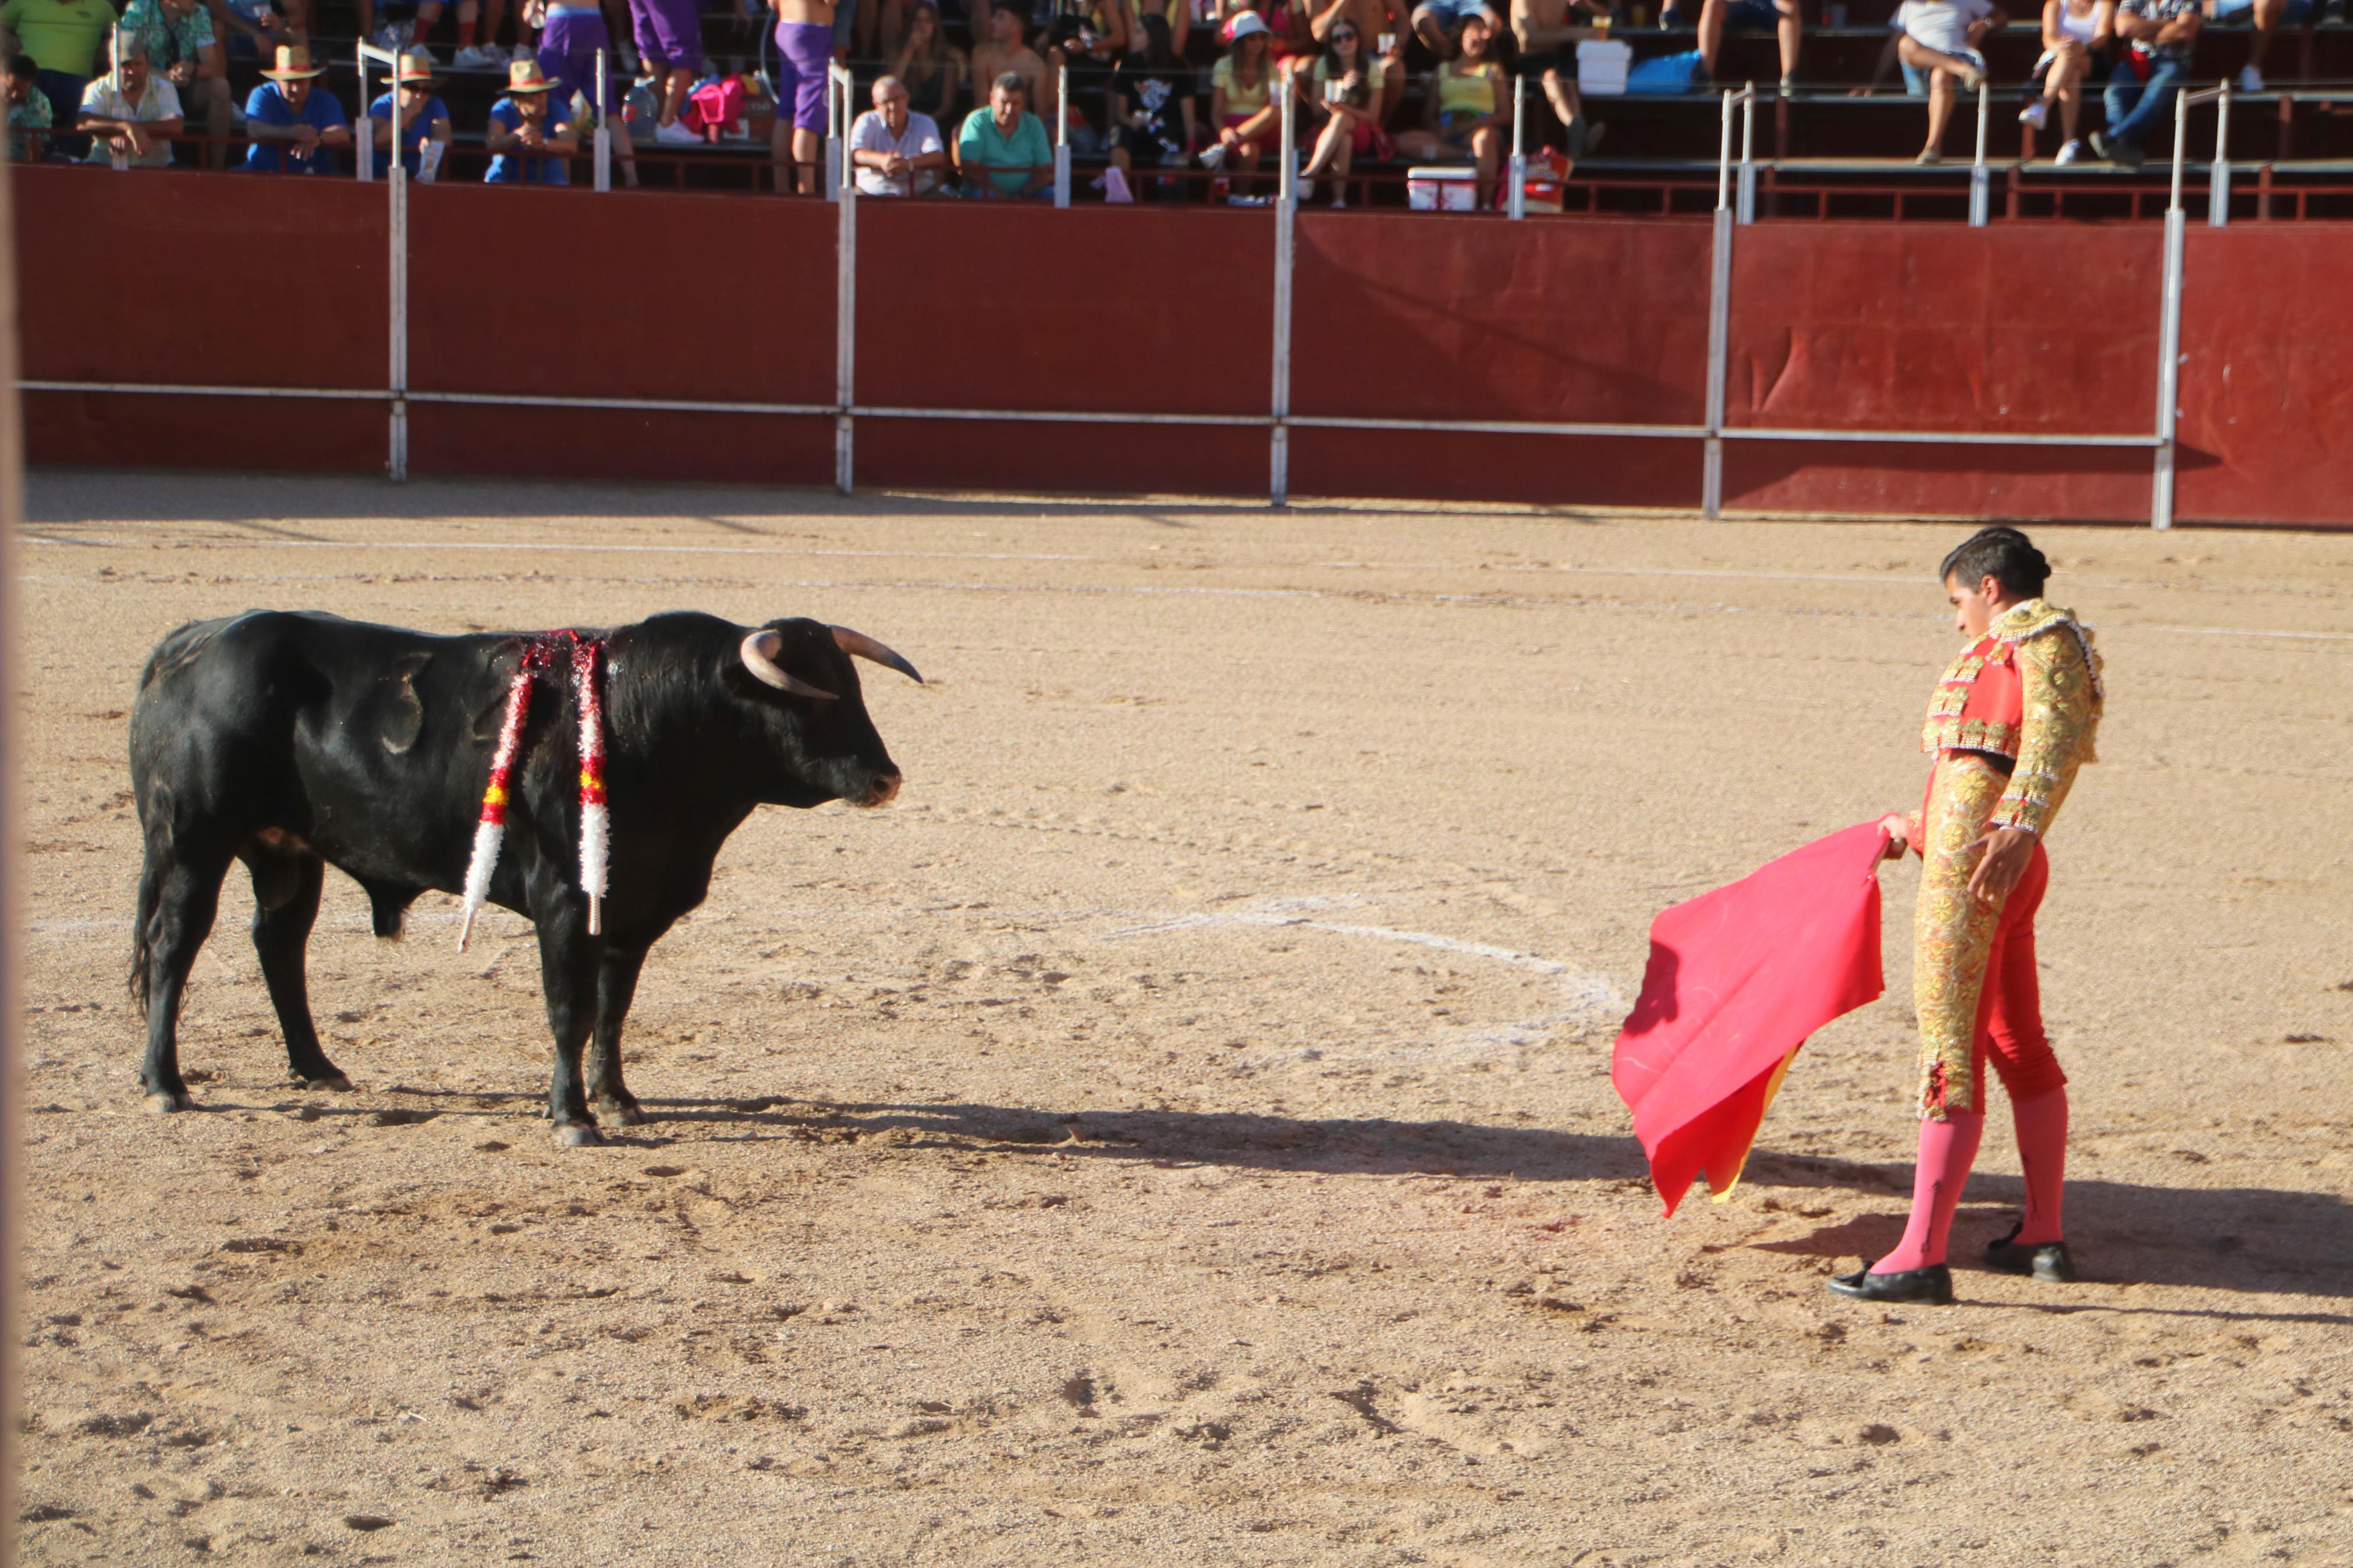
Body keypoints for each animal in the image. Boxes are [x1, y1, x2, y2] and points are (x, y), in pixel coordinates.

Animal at [126, 611, 917, 1142]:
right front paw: (571, 1116)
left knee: (280, 943)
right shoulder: (566, 901)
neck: (647, 723)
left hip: (288, 851)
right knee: (175, 944)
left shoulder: (631, 912)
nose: (886, 778)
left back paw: (316, 1066)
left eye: (852, 685)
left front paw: (617, 1098)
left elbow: (613, 1007)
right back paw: (166, 1084)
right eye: (808, 695)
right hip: (194, 841)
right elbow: (570, 1007)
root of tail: (192, 641)